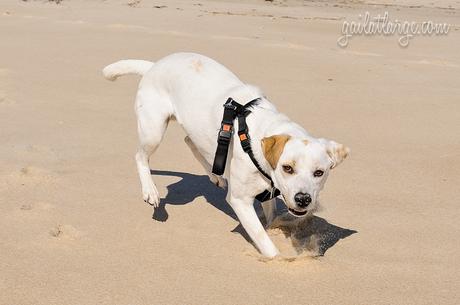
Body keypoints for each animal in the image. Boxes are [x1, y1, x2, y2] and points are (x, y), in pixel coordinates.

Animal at [103, 52, 348, 256]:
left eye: (319, 173)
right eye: (287, 168)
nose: (303, 199)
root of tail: (154, 65)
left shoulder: (268, 193)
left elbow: (269, 220)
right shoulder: (240, 201)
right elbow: (266, 243)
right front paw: (281, 261)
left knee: (190, 141)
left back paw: (215, 176)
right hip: (153, 129)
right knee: (140, 156)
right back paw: (151, 192)